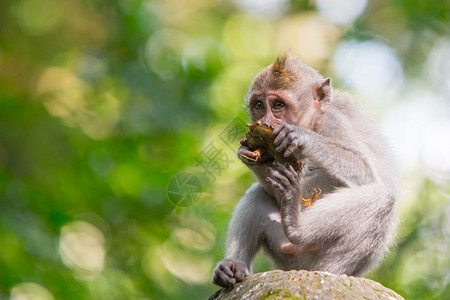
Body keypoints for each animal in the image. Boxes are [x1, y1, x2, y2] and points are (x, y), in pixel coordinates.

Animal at [213, 52, 400, 288]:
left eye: (277, 104)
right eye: (259, 105)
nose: (264, 121)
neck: (315, 120)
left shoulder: (334, 122)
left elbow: (365, 170)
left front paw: (299, 136)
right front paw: (251, 154)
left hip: (319, 254)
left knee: (382, 197)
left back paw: (298, 227)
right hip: (286, 251)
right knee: (257, 194)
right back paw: (235, 266)